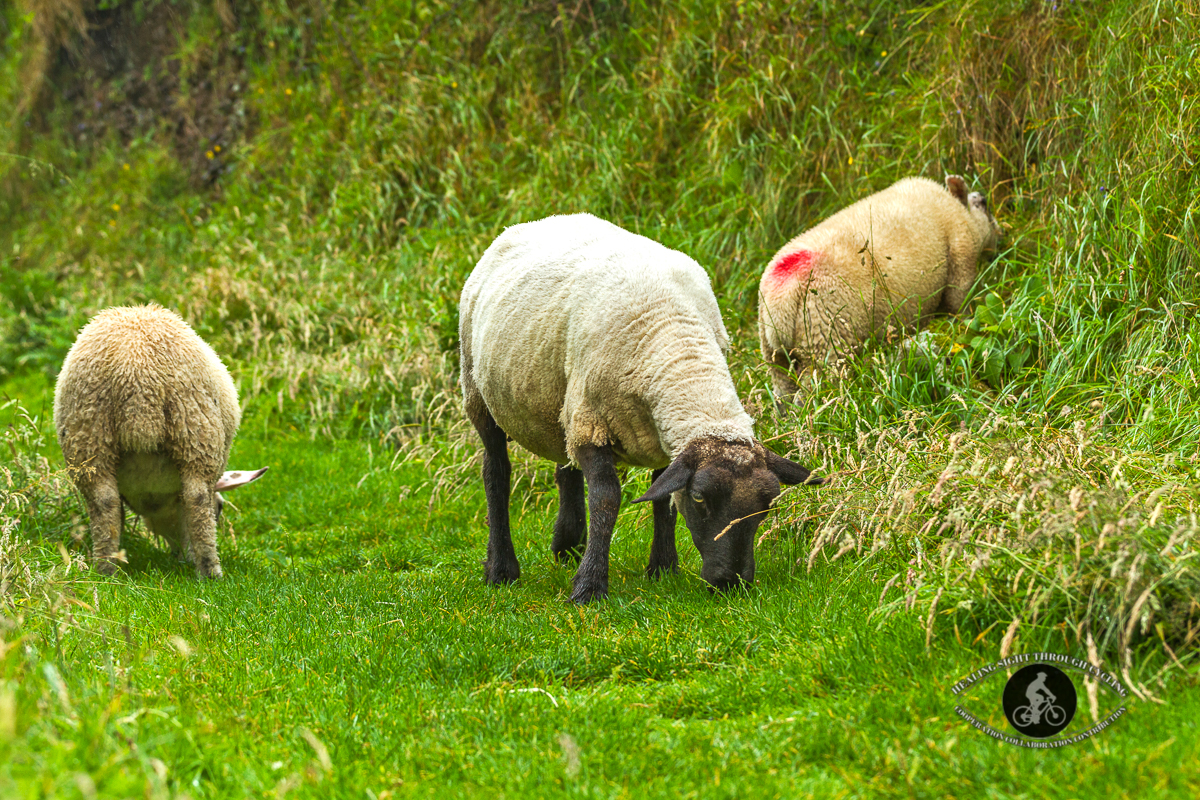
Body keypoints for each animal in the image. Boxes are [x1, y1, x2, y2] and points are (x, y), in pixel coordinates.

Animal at [55, 304, 266, 575]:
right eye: (219, 509)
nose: (180, 556)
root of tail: (136, 369)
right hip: (196, 428)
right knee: (196, 499)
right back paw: (210, 572)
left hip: (89, 435)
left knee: (104, 502)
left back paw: (106, 570)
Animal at [458, 215, 825, 604]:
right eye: (700, 498)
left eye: (766, 505)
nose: (731, 583)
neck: (676, 342)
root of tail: (543, 219)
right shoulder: (591, 423)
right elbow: (606, 499)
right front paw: (589, 587)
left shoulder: (659, 434)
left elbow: (663, 499)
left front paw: (662, 568)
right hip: (478, 392)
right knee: (496, 474)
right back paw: (501, 569)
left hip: (561, 401)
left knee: (565, 467)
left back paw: (568, 545)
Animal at [758, 177, 1003, 398]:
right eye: (983, 204)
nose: (1001, 238)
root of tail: (781, 296)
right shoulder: (961, 267)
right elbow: (960, 312)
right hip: (827, 343)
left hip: (775, 354)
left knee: (783, 395)